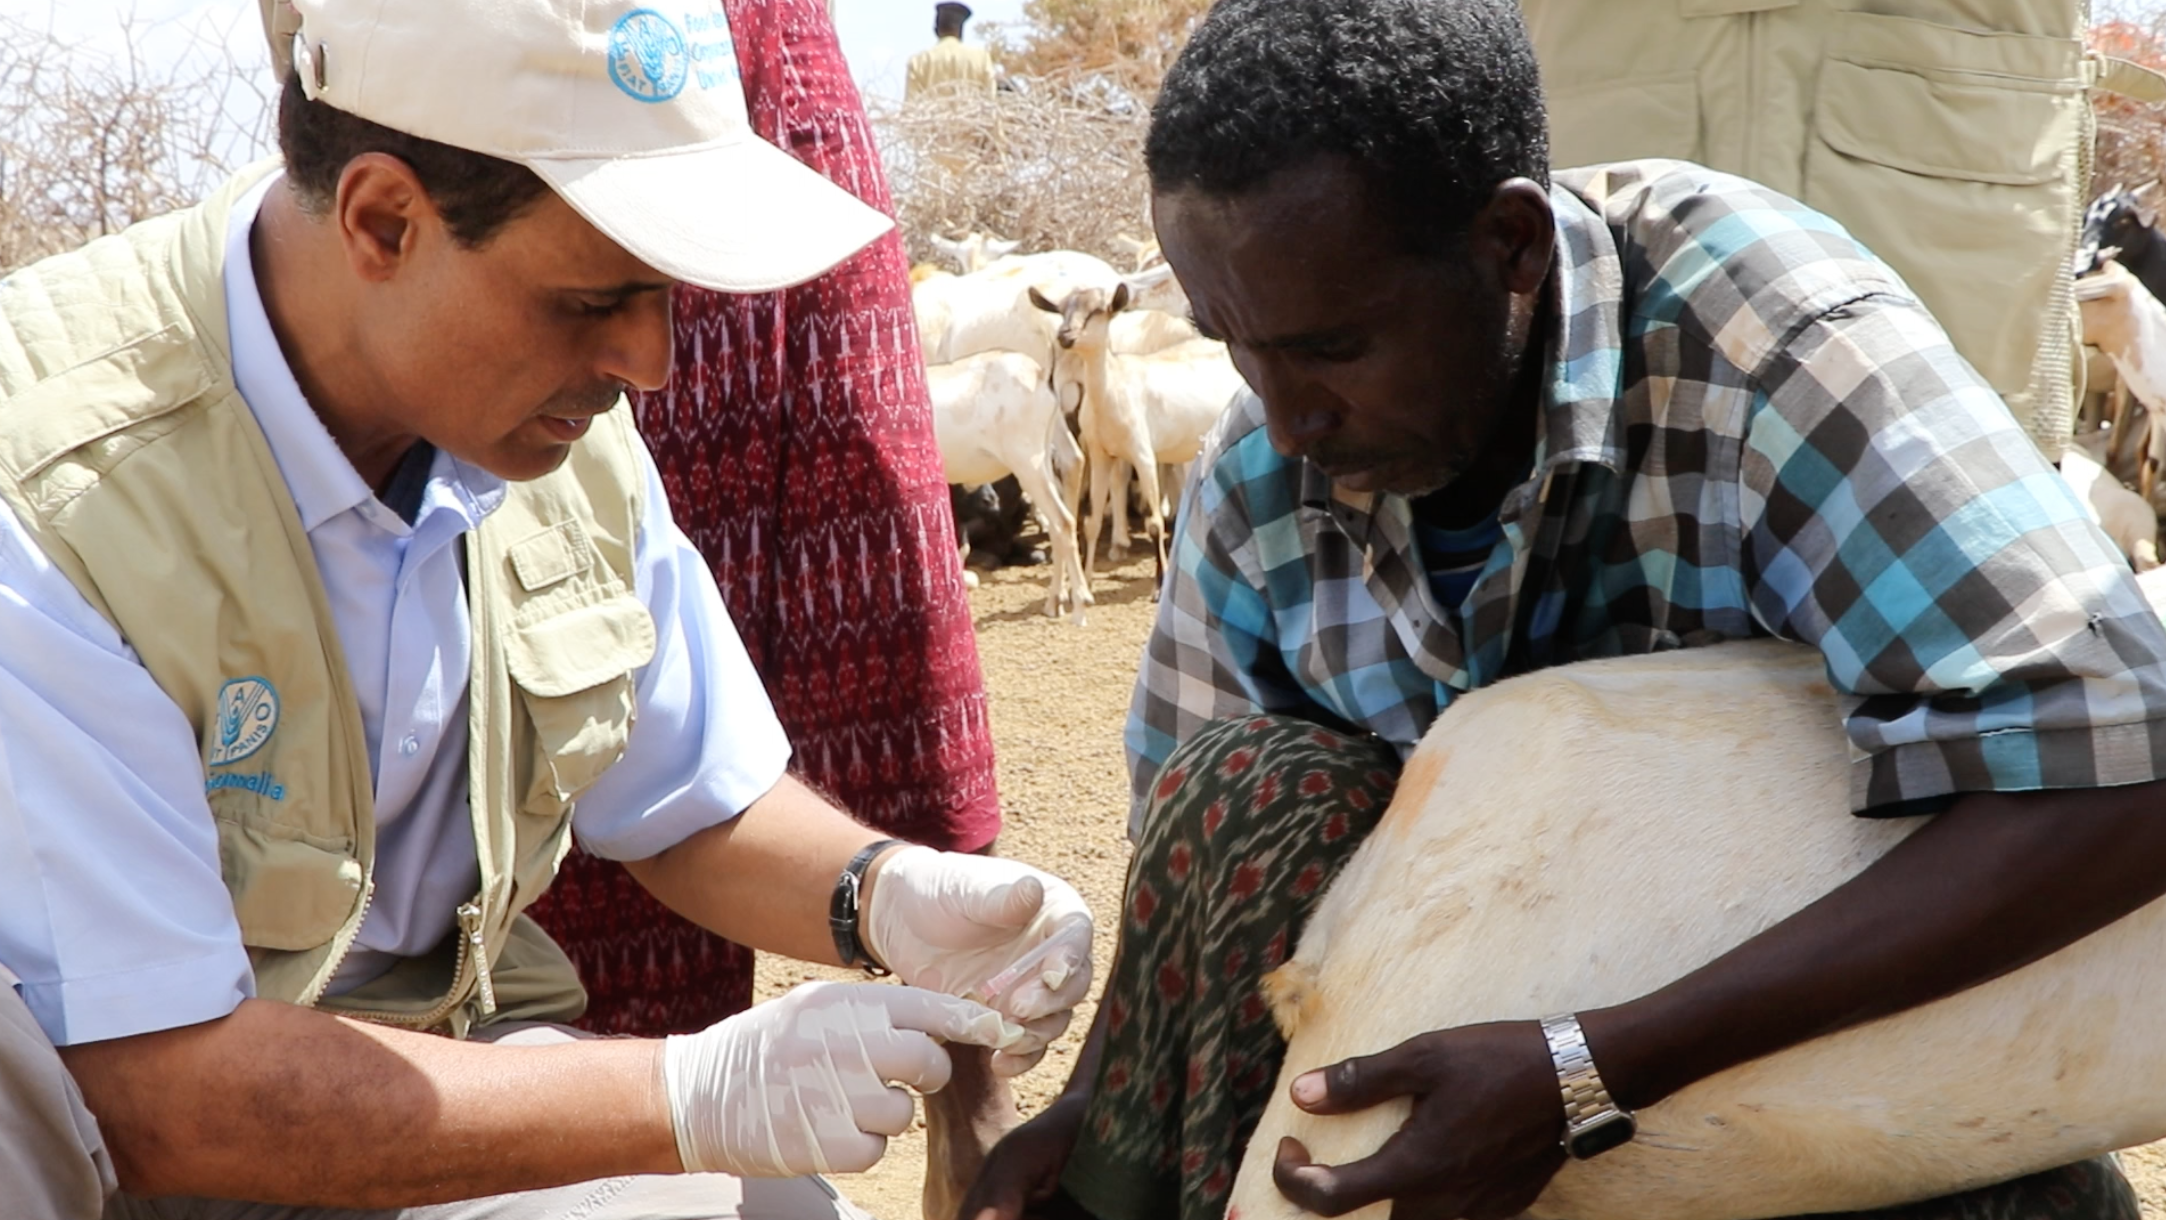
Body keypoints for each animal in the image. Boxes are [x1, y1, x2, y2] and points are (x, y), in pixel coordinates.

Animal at [931, 351, 1091, 619]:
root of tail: (1040, 375)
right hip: (1042, 463)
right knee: (1057, 521)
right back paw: (1054, 601)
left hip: (1027, 465)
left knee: (1063, 521)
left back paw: (1081, 605)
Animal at [1035, 283, 1247, 580]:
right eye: (1062, 310)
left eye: (1098, 310)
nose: (1065, 335)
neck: (1113, 389)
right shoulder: (1101, 455)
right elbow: (1092, 522)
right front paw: (1088, 579)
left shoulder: (1143, 455)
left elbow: (1155, 523)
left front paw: (1160, 581)